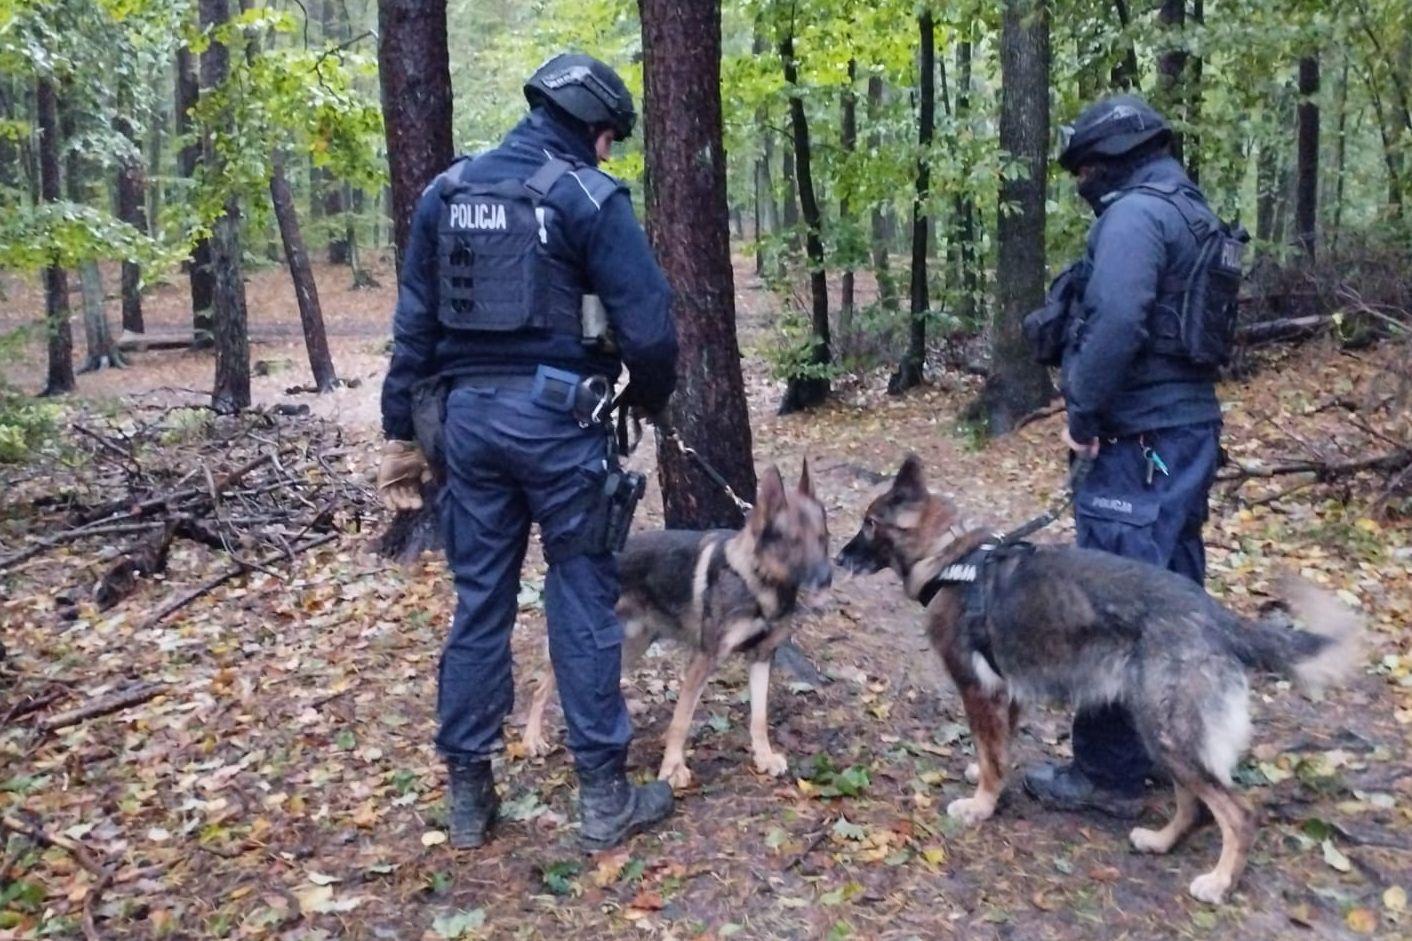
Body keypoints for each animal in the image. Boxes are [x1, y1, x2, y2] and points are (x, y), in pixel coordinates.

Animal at [525, 460, 830, 785]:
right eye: (794, 541)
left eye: (822, 538)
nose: (827, 578)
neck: (756, 580)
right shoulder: (704, 659)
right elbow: (681, 720)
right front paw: (672, 767)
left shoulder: (761, 657)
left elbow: (759, 717)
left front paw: (764, 757)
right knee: (543, 687)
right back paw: (532, 739)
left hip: (630, 646)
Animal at [830, 454, 1361, 904]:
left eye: (869, 523)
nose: (838, 558)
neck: (953, 560)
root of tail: (1217, 617)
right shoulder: (1009, 692)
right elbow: (996, 748)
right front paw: (983, 776)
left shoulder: (979, 689)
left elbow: (991, 752)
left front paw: (981, 805)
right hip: (1158, 731)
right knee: (1193, 803)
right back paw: (1161, 841)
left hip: (1165, 731)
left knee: (1238, 813)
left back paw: (1218, 882)